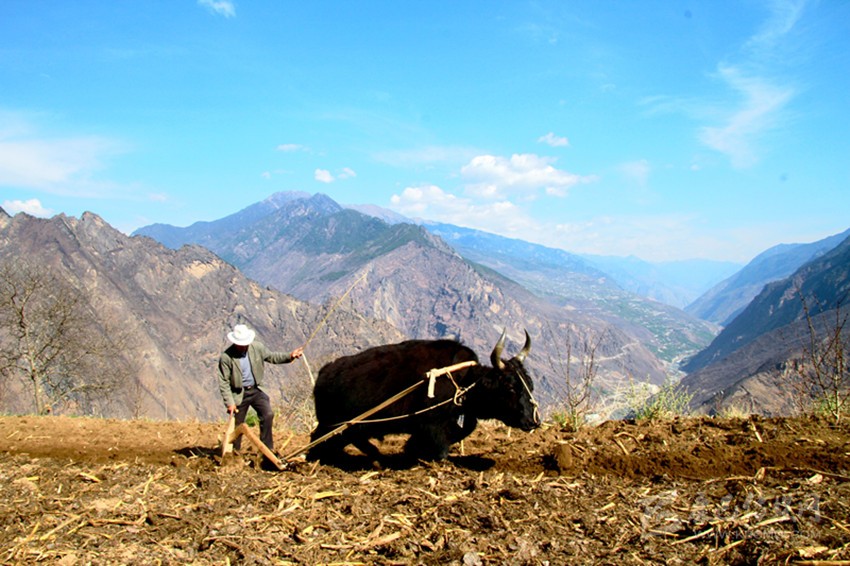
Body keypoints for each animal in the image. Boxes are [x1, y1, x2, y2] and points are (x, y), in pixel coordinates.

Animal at [306, 329, 541, 465]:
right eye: (510, 387)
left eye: (529, 384)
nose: (534, 421)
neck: (462, 379)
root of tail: (323, 373)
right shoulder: (431, 423)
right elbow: (442, 450)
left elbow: (465, 428)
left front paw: (411, 448)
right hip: (334, 424)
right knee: (319, 439)